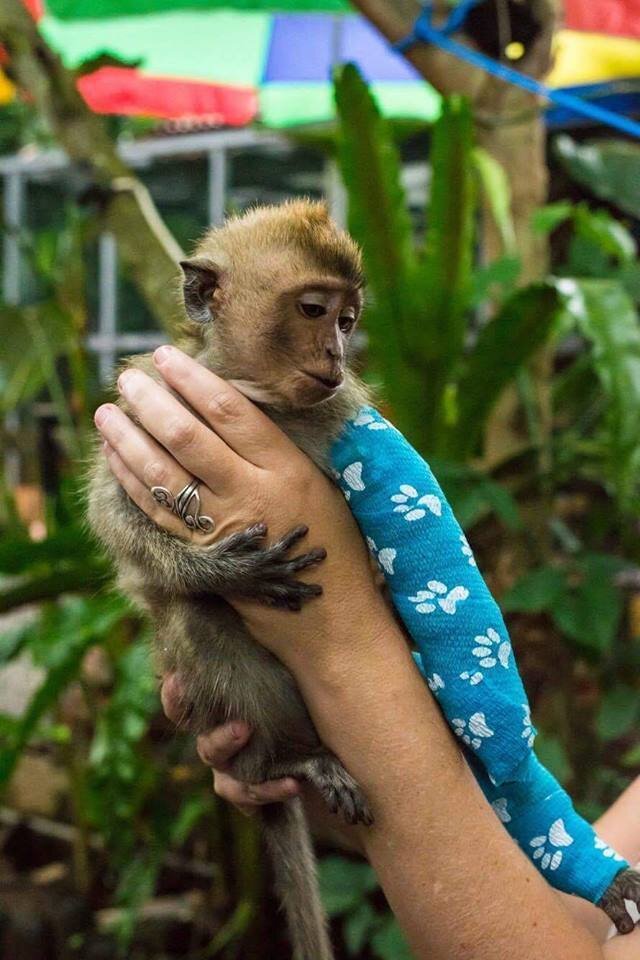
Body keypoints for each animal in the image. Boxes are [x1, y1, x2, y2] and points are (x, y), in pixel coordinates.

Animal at [87, 200, 374, 960]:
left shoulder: (341, 416)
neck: (259, 395)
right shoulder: (153, 400)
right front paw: (225, 568)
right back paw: (289, 766)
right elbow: (114, 518)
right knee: (195, 617)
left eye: (348, 319)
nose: (336, 356)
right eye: (314, 310)